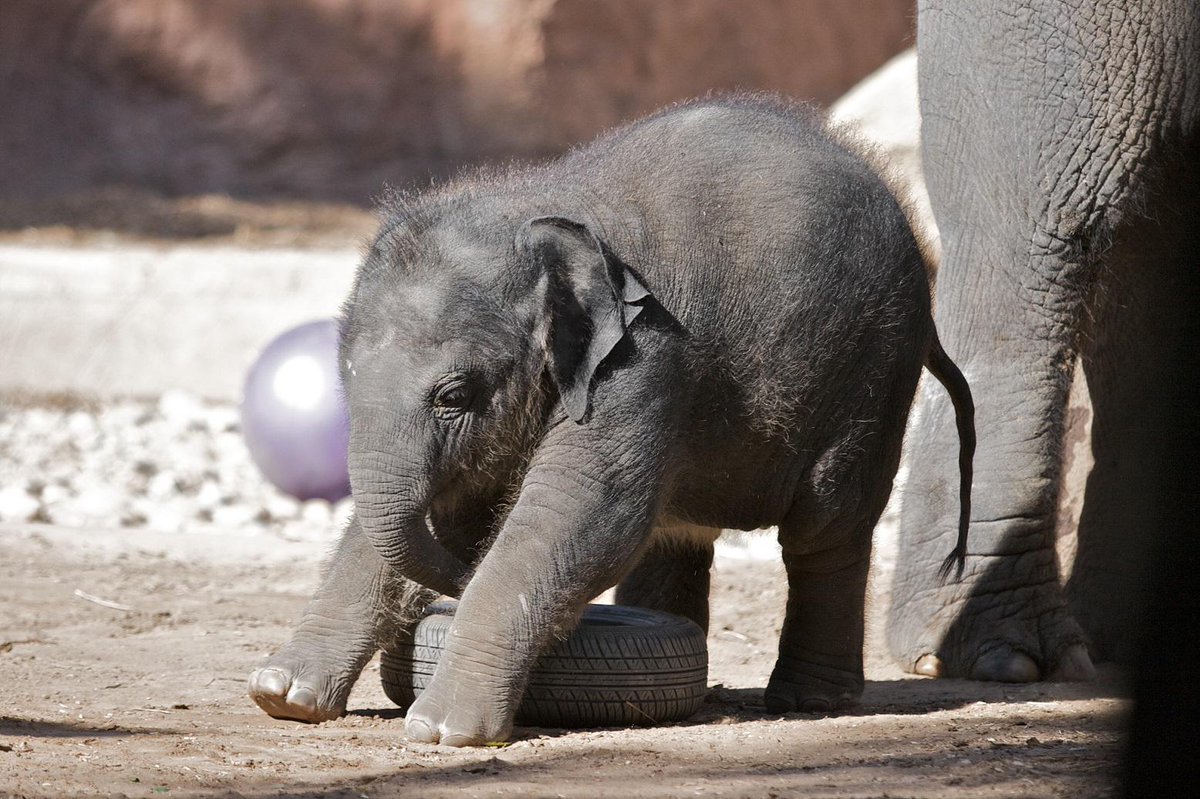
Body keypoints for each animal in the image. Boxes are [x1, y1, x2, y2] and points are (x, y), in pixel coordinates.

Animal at [248, 95, 975, 746]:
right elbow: (448, 509)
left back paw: (808, 701)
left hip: (872, 368)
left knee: (827, 526)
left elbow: (579, 512)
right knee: (680, 534)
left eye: (453, 396)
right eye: (344, 377)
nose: (453, 584)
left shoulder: (642, 356)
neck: (538, 211)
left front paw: (441, 729)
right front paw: (282, 696)